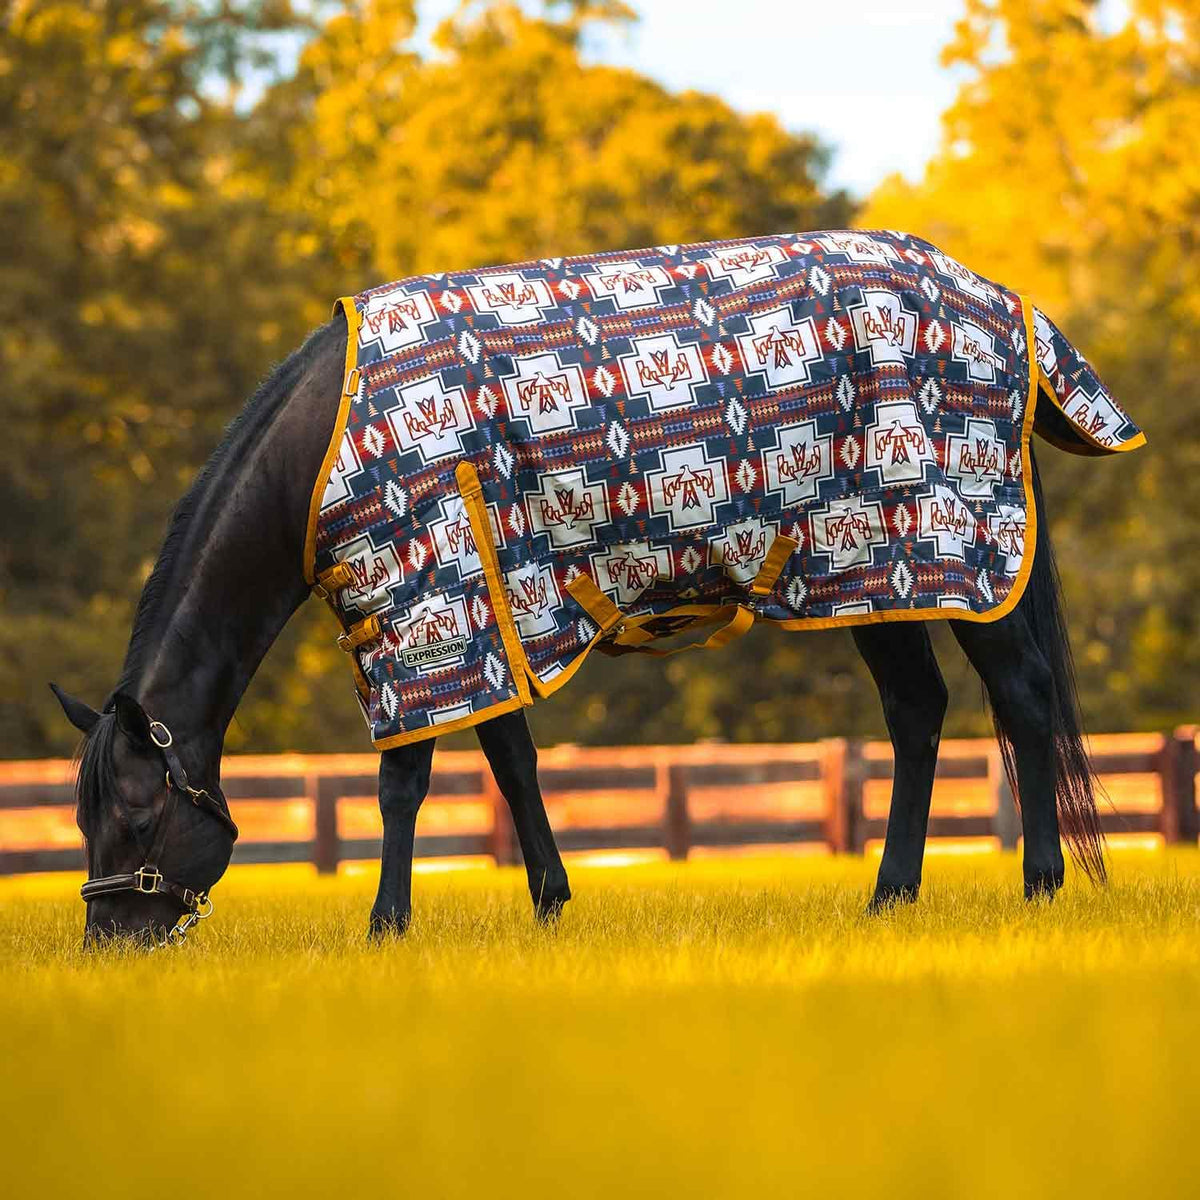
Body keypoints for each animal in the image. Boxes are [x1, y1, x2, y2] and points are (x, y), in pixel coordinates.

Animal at [51, 228, 1142, 946]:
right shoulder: (489, 613)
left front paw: (386, 925)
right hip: (871, 567)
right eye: (82, 815)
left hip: (958, 547)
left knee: (1022, 698)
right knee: (918, 712)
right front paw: (548, 901)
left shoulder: (426, 610)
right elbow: (513, 763)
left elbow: (404, 782)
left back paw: (1042, 885)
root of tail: (995, 300)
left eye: (137, 816)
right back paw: (889, 896)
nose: (114, 943)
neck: (328, 442)